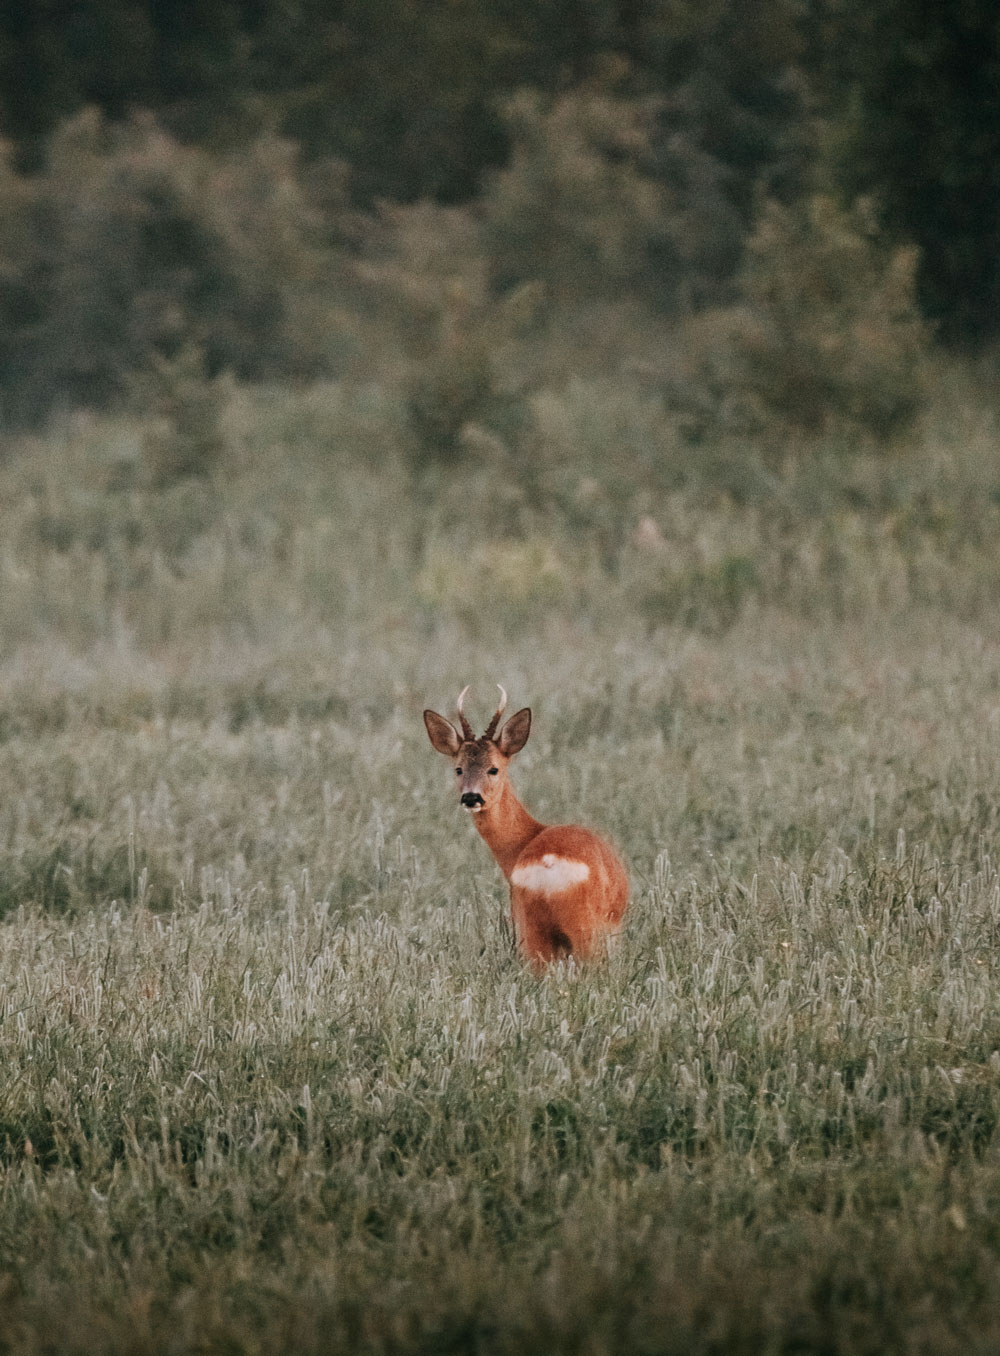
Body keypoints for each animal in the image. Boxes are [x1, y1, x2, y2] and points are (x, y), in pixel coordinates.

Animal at [420, 688, 624, 965]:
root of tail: (548, 863)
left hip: (532, 927)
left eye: (493, 769)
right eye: (458, 769)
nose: (471, 797)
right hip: (581, 924)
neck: (527, 838)